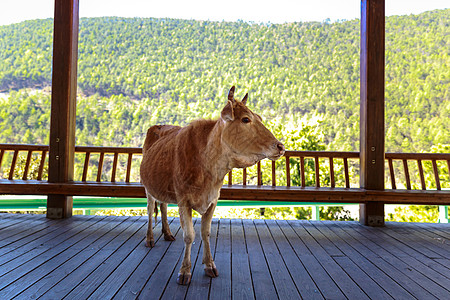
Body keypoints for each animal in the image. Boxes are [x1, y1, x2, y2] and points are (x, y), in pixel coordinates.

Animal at [141, 85, 284, 284]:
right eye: (245, 119)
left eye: (260, 118)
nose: (280, 146)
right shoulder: (184, 200)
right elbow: (189, 235)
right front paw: (185, 271)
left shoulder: (213, 200)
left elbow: (206, 232)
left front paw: (209, 265)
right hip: (148, 187)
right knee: (150, 209)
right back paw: (150, 238)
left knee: (162, 206)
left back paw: (167, 233)